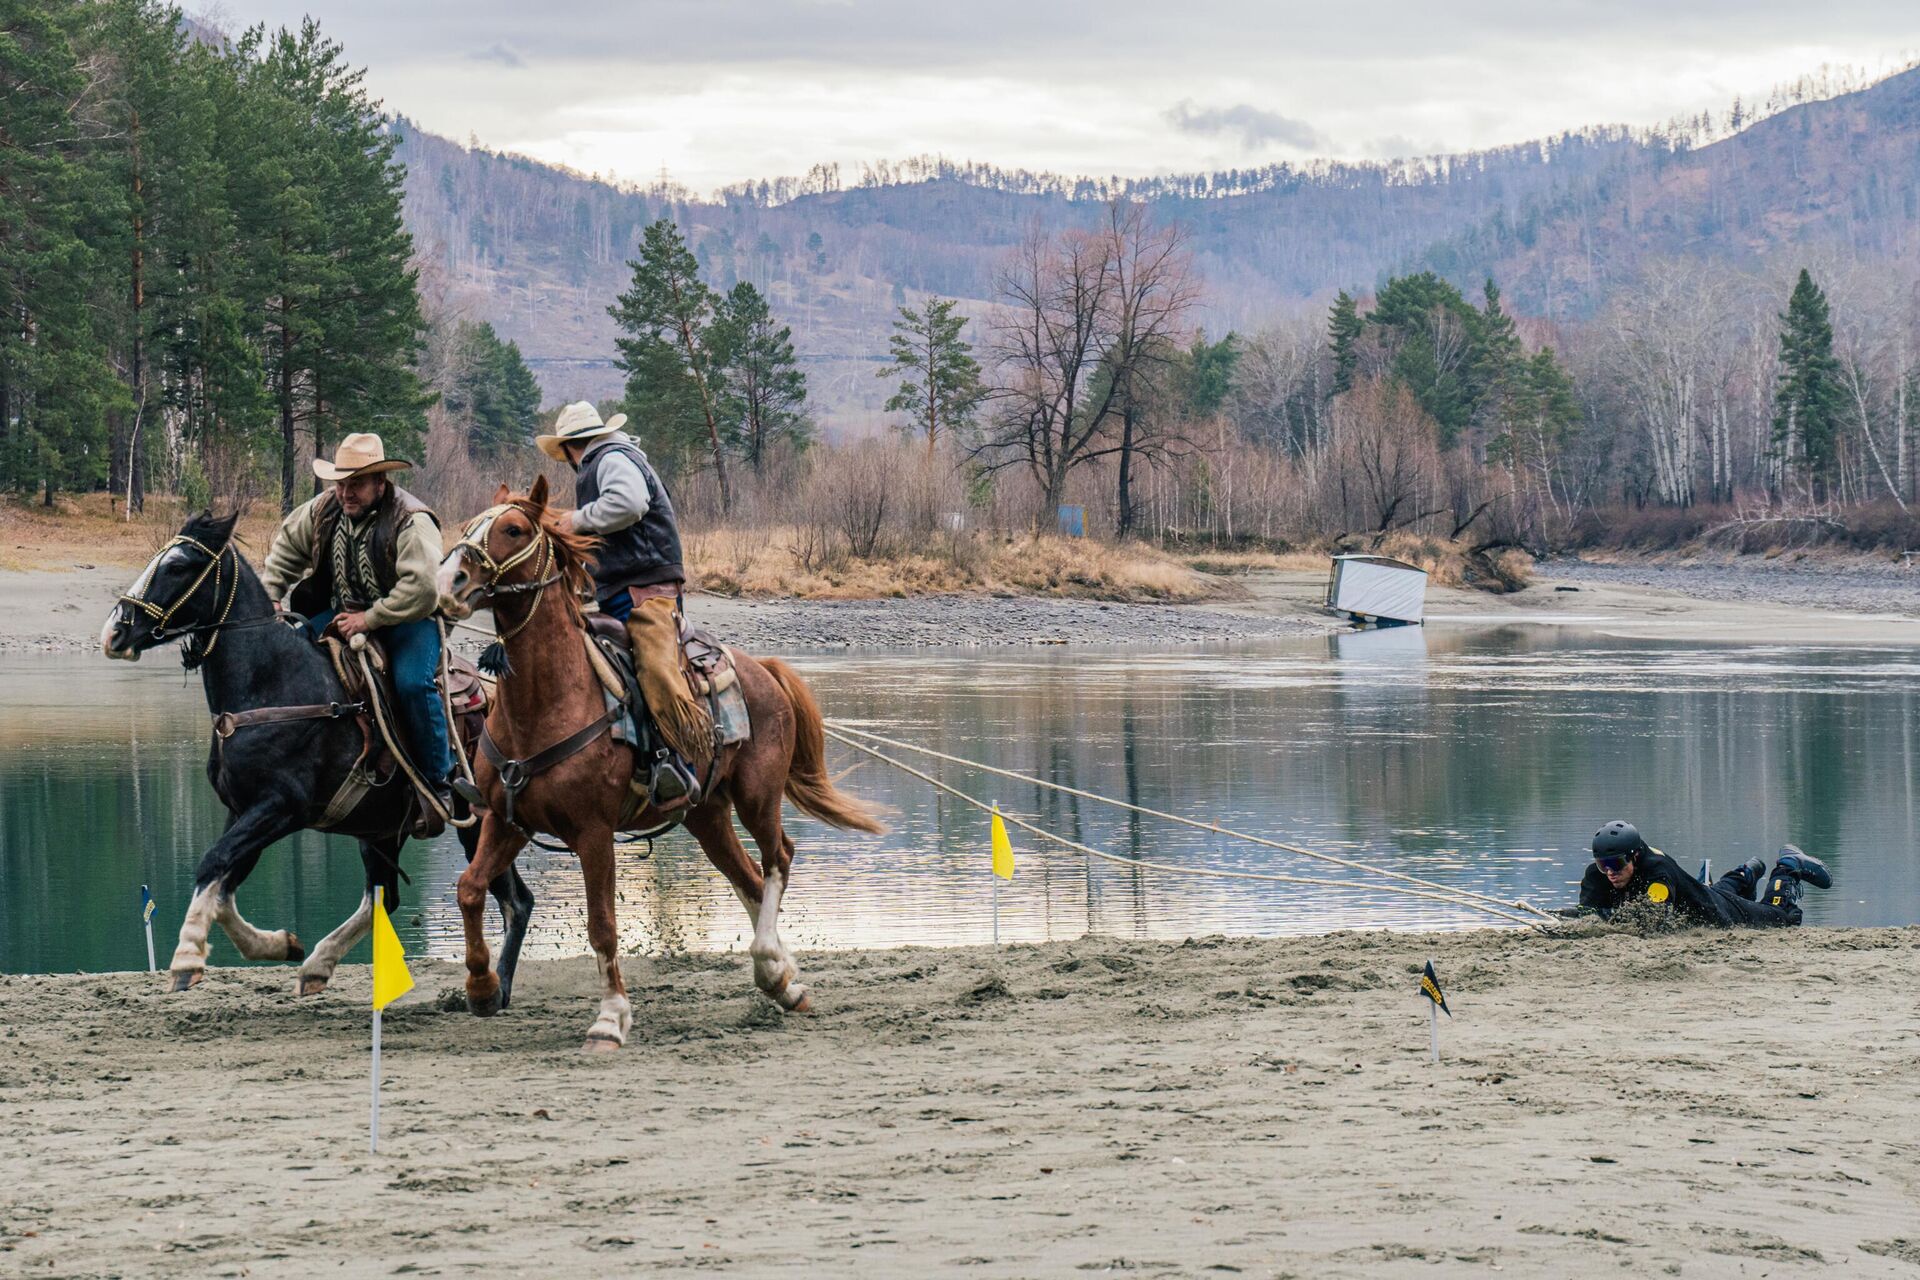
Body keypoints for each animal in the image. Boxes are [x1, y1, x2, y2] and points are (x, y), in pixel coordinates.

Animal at [105, 510, 533, 997]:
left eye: (178, 566)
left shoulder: (280, 808)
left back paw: (495, 987)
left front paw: (187, 956)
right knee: (386, 896)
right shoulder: (243, 809)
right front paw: (281, 944)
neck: (271, 683)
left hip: (475, 827)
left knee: (514, 900)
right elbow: (224, 883)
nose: (116, 631)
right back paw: (318, 965)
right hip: (381, 831)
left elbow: (213, 863)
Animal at [439, 479, 879, 1051]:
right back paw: (783, 980)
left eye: (513, 529)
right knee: (748, 877)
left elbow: (603, 924)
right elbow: (470, 888)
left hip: (758, 796)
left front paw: (609, 1019)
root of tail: (763, 669)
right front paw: (482, 988)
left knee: (777, 857)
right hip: (706, 814)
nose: (450, 581)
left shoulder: (593, 832)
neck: (547, 699)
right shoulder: (505, 819)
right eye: (470, 523)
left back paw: (769, 963)